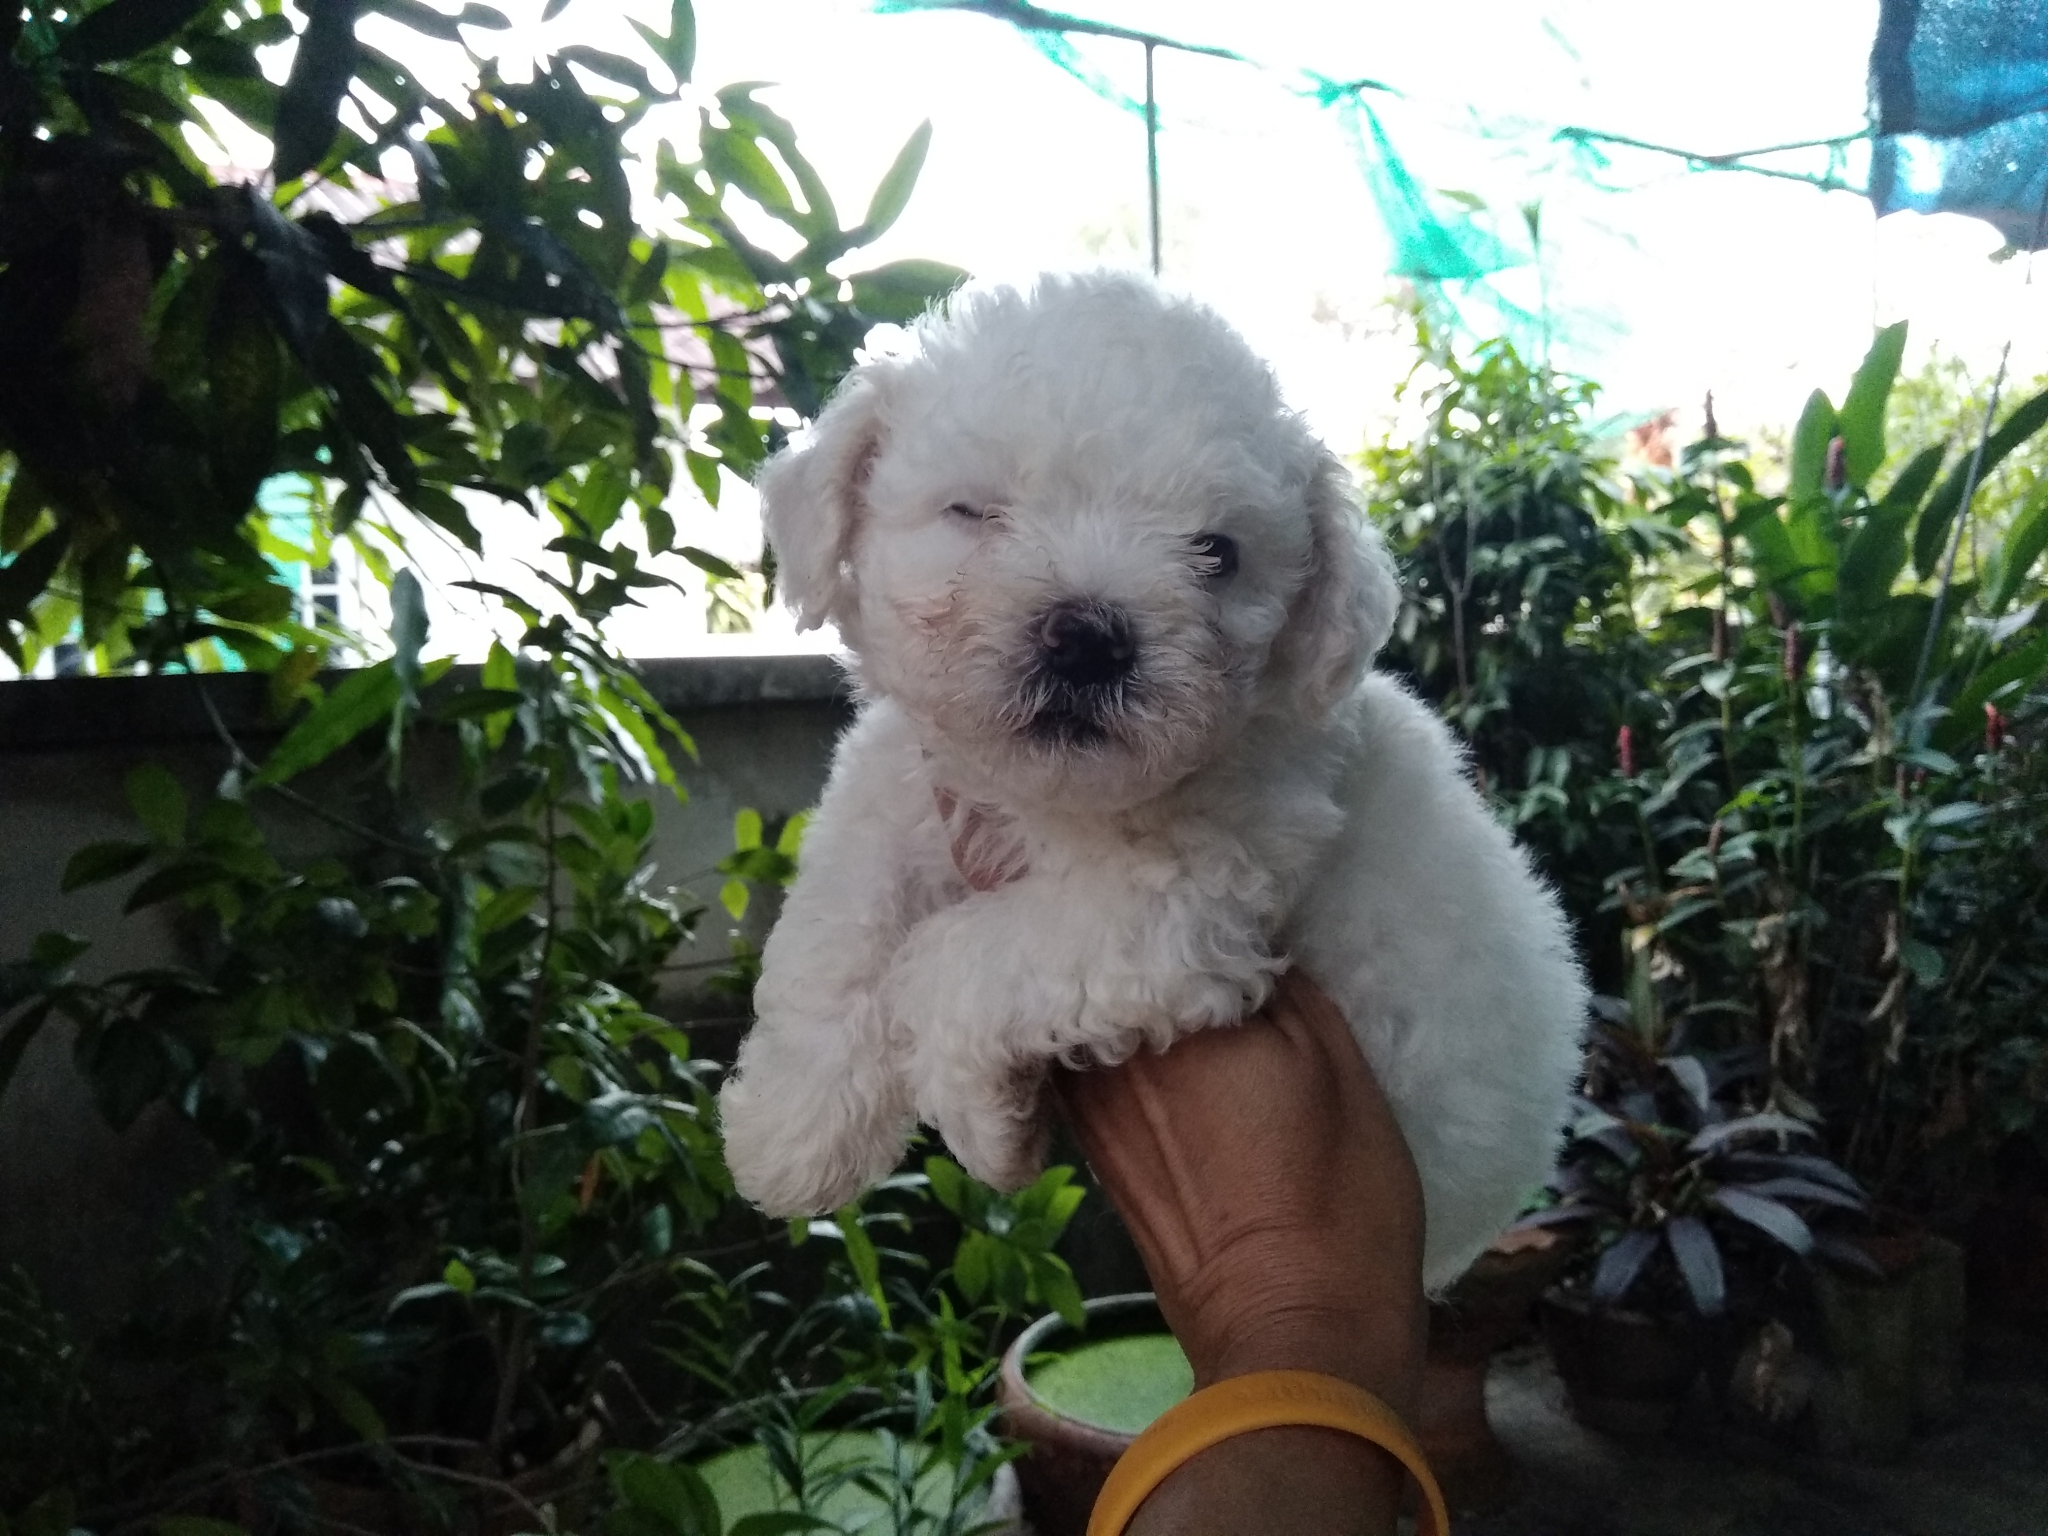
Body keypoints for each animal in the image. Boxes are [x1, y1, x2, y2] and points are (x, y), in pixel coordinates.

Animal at [717, 272, 1587, 1290]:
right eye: (973, 513)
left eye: (1217, 552)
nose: (1088, 637)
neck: (1040, 797)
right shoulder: (900, 788)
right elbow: (838, 924)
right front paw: (789, 1133)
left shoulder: (1176, 904)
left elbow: (954, 958)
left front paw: (987, 1126)